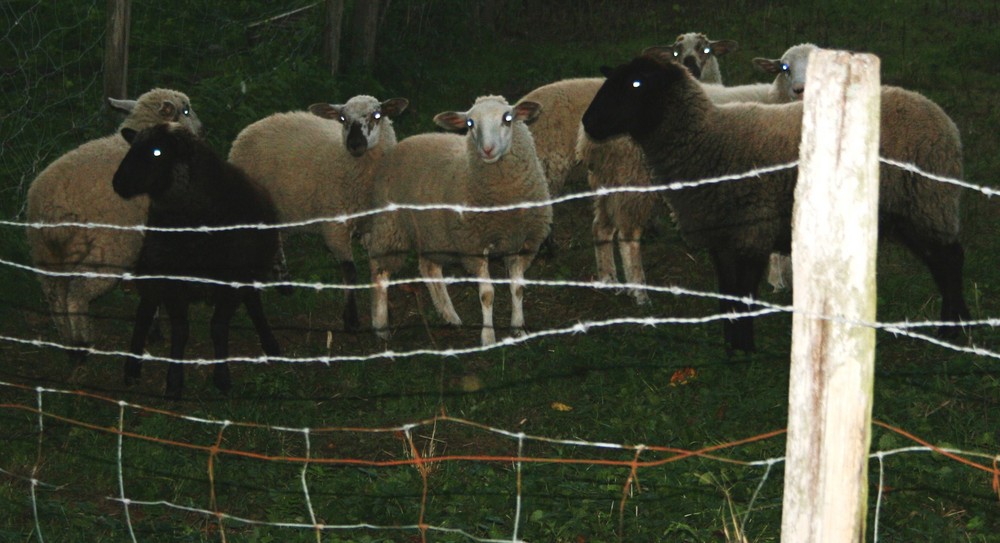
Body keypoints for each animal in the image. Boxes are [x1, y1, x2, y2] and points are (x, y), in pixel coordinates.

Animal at [24, 88, 201, 362]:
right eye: (185, 110)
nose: (201, 128)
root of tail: (54, 204)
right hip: (110, 248)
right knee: (77, 293)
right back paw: (81, 344)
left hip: (45, 251)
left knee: (55, 294)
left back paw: (67, 340)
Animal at [113, 123, 282, 400]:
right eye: (133, 146)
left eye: (158, 152)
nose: (118, 183)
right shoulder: (172, 279)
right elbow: (180, 329)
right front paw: (174, 382)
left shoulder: (232, 279)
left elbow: (218, 326)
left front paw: (222, 378)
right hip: (152, 268)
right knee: (144, 312)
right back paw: (131, 368)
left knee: (253, 302)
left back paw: (270, 343)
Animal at [229, 95, 408, 332]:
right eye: (342, 118)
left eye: (376, 115)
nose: (355, 144)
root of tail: (251, 127)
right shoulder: (334, 226)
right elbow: (349, 271)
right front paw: (351, 318)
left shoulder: (373, 224)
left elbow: (379, 267)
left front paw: (383, 311)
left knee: (277, 238)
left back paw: (284, 283)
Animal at [370, 95, 556, 346]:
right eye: (470, 124)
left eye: (507, 118)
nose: (487, 150)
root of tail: (401, 144)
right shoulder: (473, 245)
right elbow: (487, 294)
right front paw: (488, 337)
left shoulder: (520, 241)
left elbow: (517, 289)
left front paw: (519, 329)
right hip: (390, 226)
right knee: (380, 273)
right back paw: (381, 327)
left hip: (432, 232)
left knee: (429, 268)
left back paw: (450, 316)